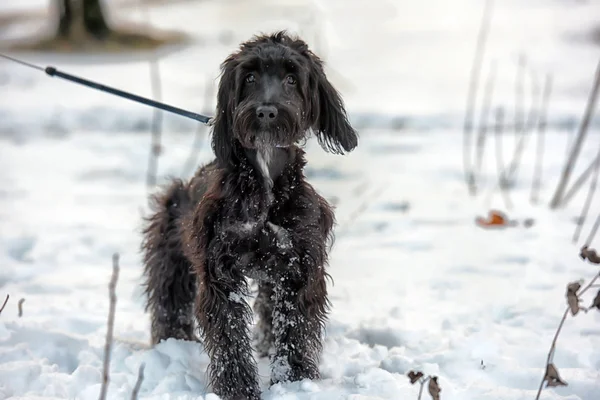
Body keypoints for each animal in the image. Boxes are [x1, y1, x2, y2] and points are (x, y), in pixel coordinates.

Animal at [141, 32, 356, 400]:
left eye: (291, 78)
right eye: (251, 77)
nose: (267, 111)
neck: (265, 181)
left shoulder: (299, 262)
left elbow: (294, 328)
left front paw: (293, 381)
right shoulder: (218, 268)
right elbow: (228, 334)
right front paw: (238, 389)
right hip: (170, 242)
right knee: (169, 297)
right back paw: (172, 342)